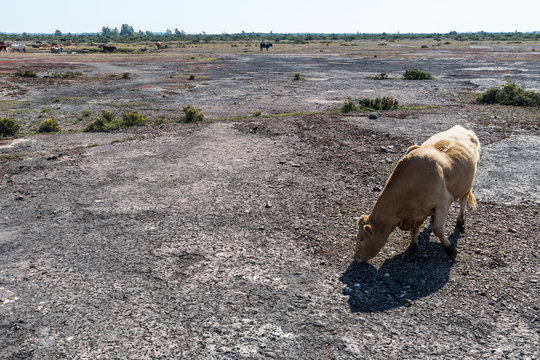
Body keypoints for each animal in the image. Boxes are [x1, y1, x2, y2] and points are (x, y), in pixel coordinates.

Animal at [354, 125, 480, 262]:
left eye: (361, 238)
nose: (356, 258)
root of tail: (461, 128)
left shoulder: (444, 202)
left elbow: (437, 230)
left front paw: (450, 249)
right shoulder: (415, 213)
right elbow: (414, 230)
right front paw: (412, 248)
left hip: (467, 184)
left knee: (463, 201)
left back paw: (460, 222)